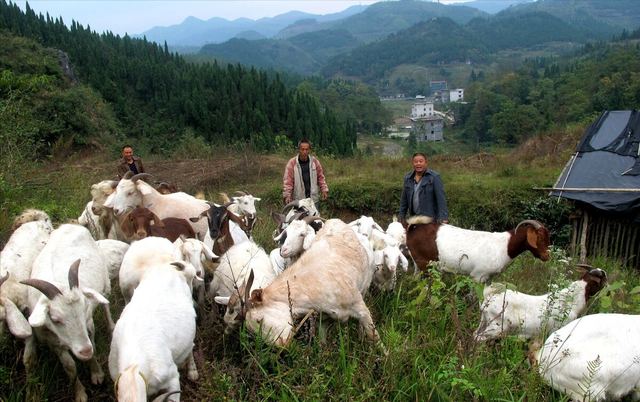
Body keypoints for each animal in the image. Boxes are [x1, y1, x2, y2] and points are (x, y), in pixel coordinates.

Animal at [21, 225, 114, 402]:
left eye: (85, 308)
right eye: (55, 319)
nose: (84, 351)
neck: (60, 284)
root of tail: (70, 225)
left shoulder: (89, 324)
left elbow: (93, 346)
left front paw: (97, 374)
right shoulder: (52, 341)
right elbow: (69, 367)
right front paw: (80, 393)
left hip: (105, 282)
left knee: (105, 303)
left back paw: (112, 327)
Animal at [404, 217, 552, 282]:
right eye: (539, 238)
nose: (547, 256)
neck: (504, 246)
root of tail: (412, 229)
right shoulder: (478, 275)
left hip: (418, 264)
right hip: (426, 265)